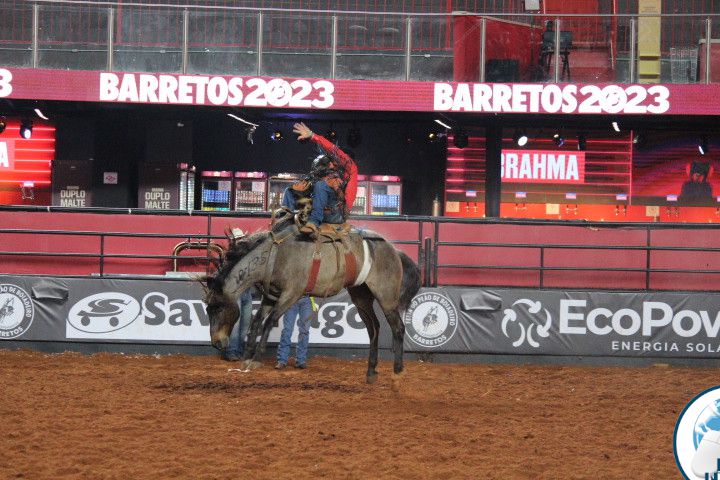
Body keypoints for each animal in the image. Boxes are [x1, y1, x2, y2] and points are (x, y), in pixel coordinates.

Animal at [203, 212, 422, 383]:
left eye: (218, 306)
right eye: (207, 308)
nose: (216, 343)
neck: (275, 255)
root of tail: (394, 250)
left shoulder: (291, 294)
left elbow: (269, 321)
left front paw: (256, 359)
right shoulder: (271, 296)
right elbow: (256, 322)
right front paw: (246, 359)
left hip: (387, 296)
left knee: (398, 328)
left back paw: (397, 372)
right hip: (361, 295)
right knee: (373, 328)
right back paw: (370, 372)